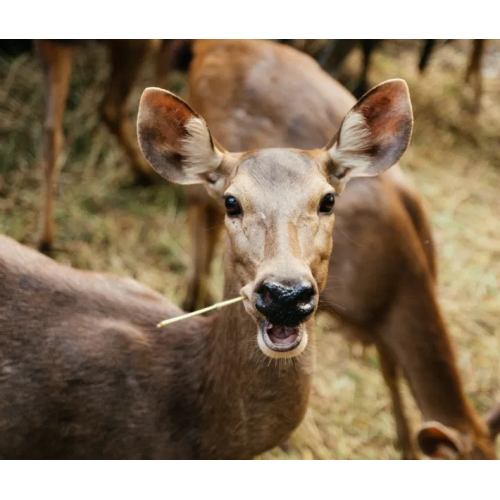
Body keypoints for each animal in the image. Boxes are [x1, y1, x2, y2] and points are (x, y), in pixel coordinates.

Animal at [36, 40, 171, 254]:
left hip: (54, 47)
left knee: (52, 132)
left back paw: (46, 239)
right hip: (134, 46)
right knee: (111, 108)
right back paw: (146, 174)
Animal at [170, 40, 494, 460]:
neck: (391, 282)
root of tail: (209, 46)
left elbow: (390, 368)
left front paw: (404, 441)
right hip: (201, 184)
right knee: (198, 223)